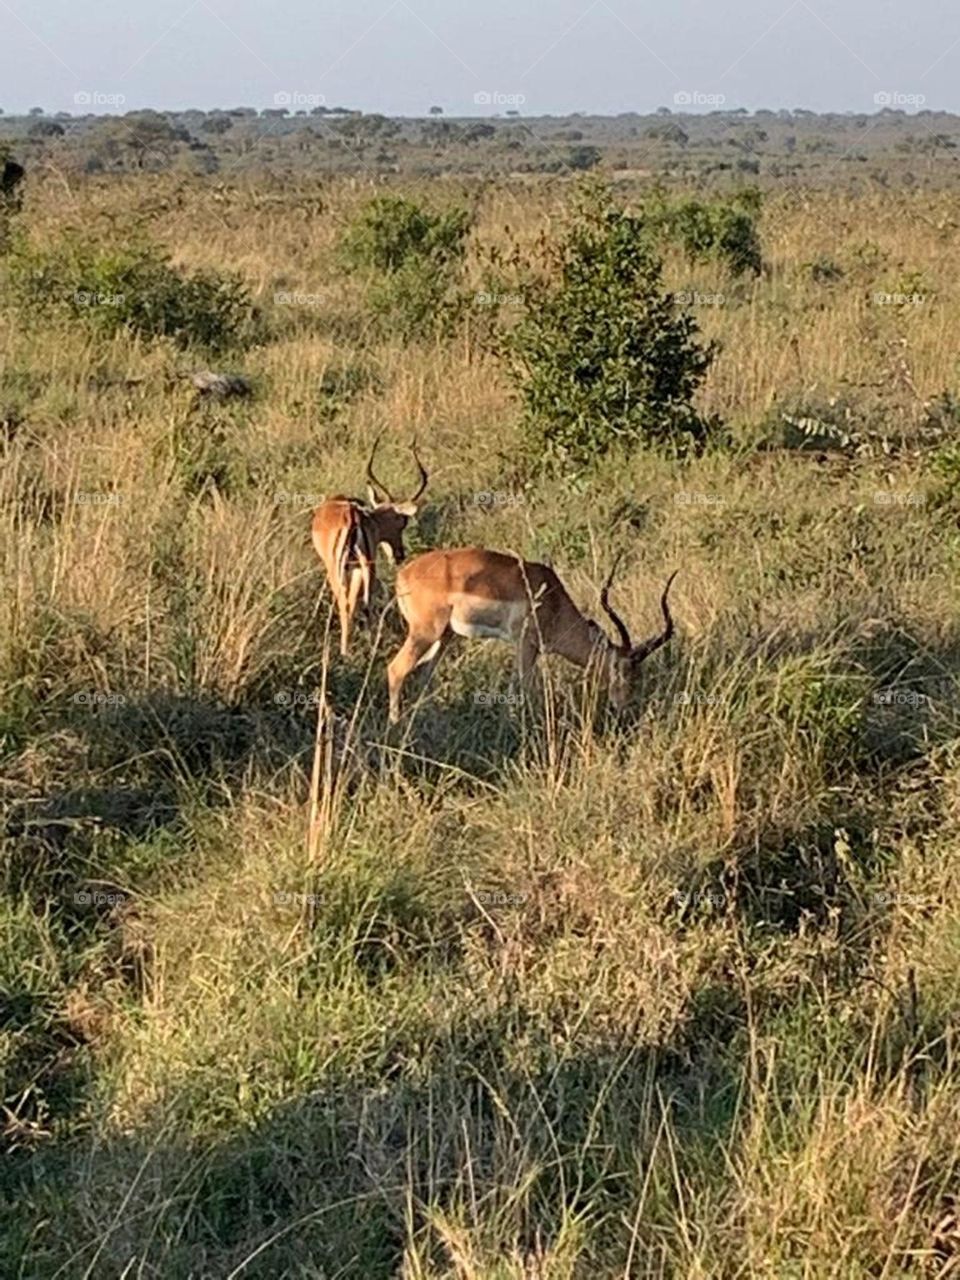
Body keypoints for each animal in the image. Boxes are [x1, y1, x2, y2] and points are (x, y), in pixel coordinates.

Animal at [312, 436, 428, 655]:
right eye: (403, 522)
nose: (399, 555)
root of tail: (352, 516)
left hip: (340, 568)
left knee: (346, 603)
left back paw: (346, 652)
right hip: (365, 566)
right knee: (364, 603)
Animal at [386, 546, 677, 723]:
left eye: (639, 676)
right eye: (621, 669)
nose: (624, 710)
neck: (553, 601)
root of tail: (402, 575)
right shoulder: (525, 645)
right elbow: (524, 688)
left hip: (444, 637)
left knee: (424, 674)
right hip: (425, 632)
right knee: (396, 669)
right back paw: (396, 723)